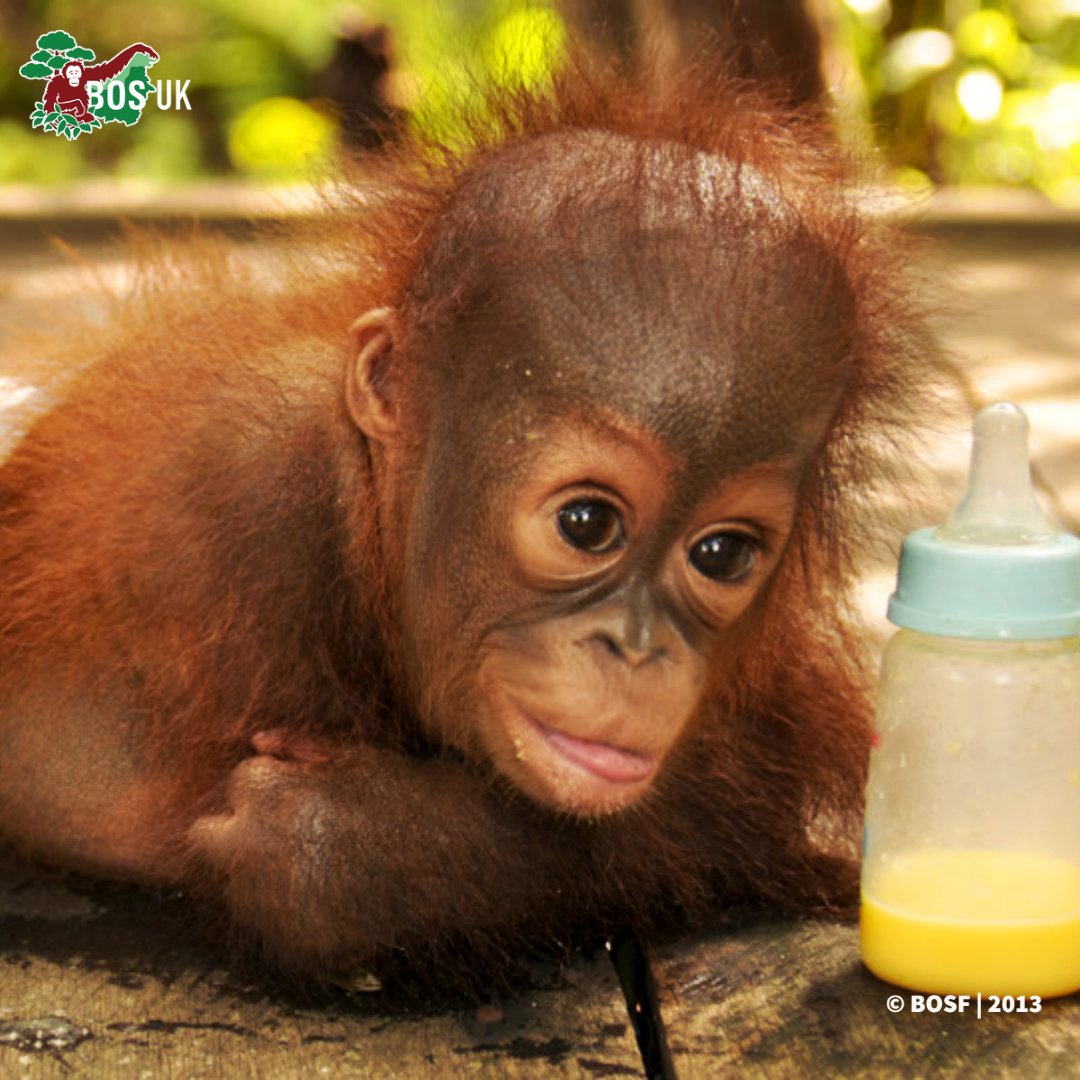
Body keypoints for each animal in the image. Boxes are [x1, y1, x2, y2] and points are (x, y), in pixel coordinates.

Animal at [0, 59, 944, 981]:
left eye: (721, 554)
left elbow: (730, 797)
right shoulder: (229, 493)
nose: (637, 651)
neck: (364, 509)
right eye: (587, 523)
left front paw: (333, 844)